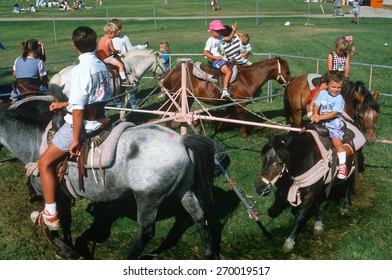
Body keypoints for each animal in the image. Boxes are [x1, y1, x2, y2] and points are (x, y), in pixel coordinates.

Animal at [0, 96, 219, 260]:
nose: (31, 197)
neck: (34, 141)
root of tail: (182, 142)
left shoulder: (52, 195)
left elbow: (53, 228)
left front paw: (69, 252)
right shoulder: (64, 197)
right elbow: (67, 224)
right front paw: (68, 248)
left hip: (148, 198)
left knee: (147, 231)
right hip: (185, 190)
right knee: (200, 217)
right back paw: (209, 254)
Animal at [161, 56, 292, 137]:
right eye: (287, 71)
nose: (290, 83)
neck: (247, 78)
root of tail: (173, 71)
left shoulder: (231, 104)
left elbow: (225, 118)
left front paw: (215, 129)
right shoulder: (240, 104)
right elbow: (242, 119)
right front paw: (245, 135)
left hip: (188, 98)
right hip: (179, 97)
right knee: (171, 112)